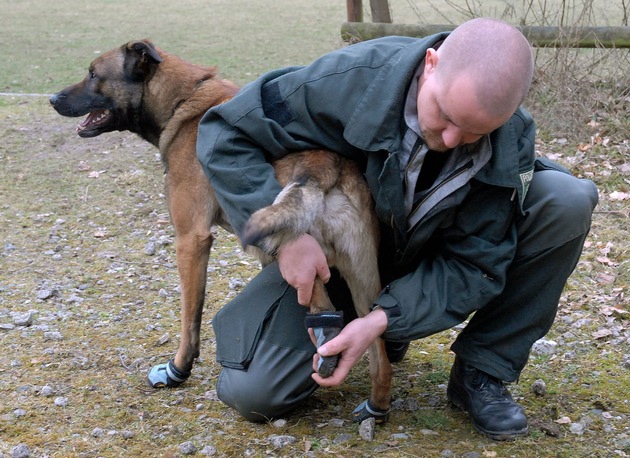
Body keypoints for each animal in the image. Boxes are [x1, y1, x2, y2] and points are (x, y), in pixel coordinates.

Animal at [50, 40, 390, 422]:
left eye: (94, 74)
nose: (52, 98)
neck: (183, 101)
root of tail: (324, 167)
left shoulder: (191, 240)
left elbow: (190, 318)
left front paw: (178, 369)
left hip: (302, 263)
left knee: (327, 318)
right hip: (363, 278)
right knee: (379, 352)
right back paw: (376, 407)